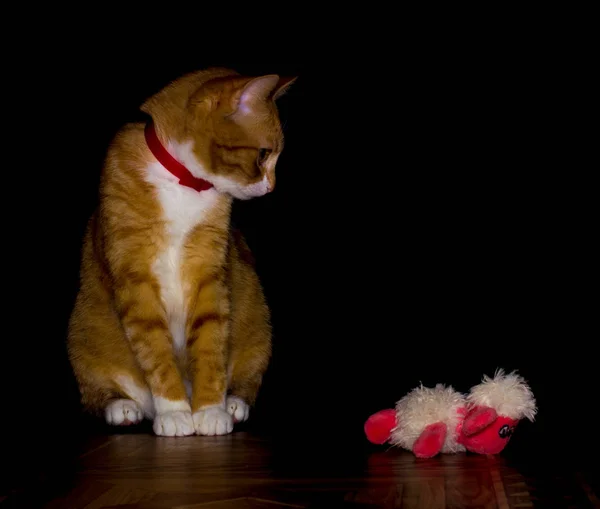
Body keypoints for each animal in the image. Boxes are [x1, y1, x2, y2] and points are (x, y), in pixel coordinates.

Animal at [67, 67, 296, 434]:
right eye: (263, 154)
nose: (272, 187)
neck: (184, 184)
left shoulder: (208, 274)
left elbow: (210, 344)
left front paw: (210, 409)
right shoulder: (136, 280)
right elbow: (155, 352)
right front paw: (175, 411)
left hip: (259, 327)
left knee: (248, 376)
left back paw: (234, 402)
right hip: (83, 335)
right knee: (96, 392)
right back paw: (122, 406)